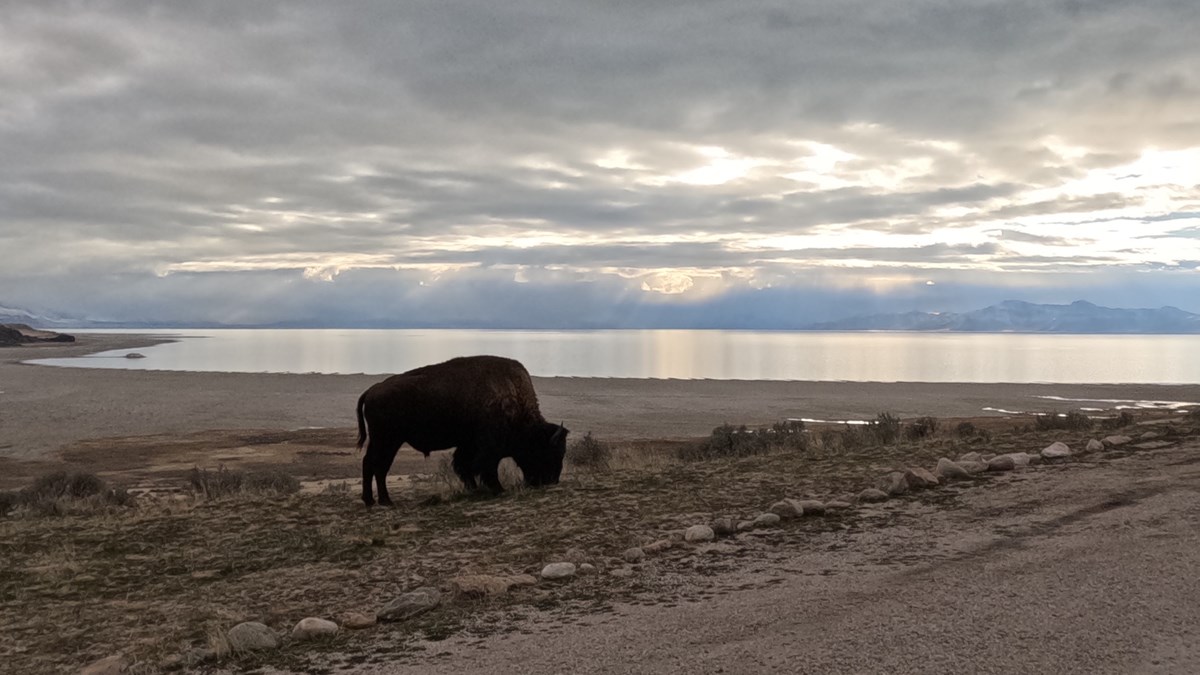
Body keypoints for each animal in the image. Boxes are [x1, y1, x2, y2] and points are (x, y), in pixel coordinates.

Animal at [352, 353, 568, 504]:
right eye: (550, 452)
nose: (551, 481)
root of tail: (372, 390)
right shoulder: (487, 447)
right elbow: (486, 468)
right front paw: (499, 489)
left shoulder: (468, 444)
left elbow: (464, 466)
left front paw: (473, 489)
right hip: (387, 440)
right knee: (376, 465)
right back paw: (383, 501)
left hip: (385, 441)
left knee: (373, 465)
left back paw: (375, 501)